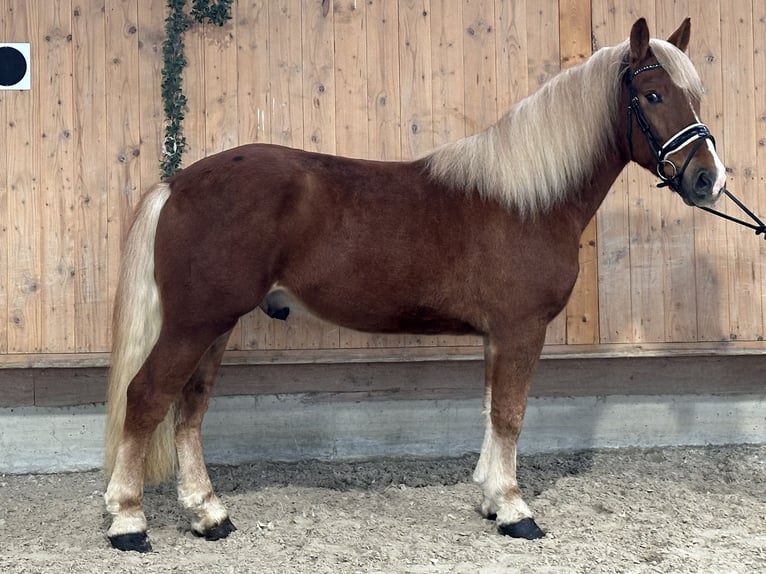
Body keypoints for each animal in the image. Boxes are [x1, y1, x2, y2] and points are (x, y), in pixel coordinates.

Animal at [105, 19, 728, 552]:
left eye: (695, 96)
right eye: (653, 96)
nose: (708, 180)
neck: (527, 201)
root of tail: (178, 183)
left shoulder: (496, 337)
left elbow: (491, 410)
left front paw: (490, 500)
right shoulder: (521, 331)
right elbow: (510, 414)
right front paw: (515, 511)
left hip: (215, 325)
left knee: (190, 408)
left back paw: (208, 515)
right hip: (195, 324)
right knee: (148, 397)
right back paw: (129, 522)